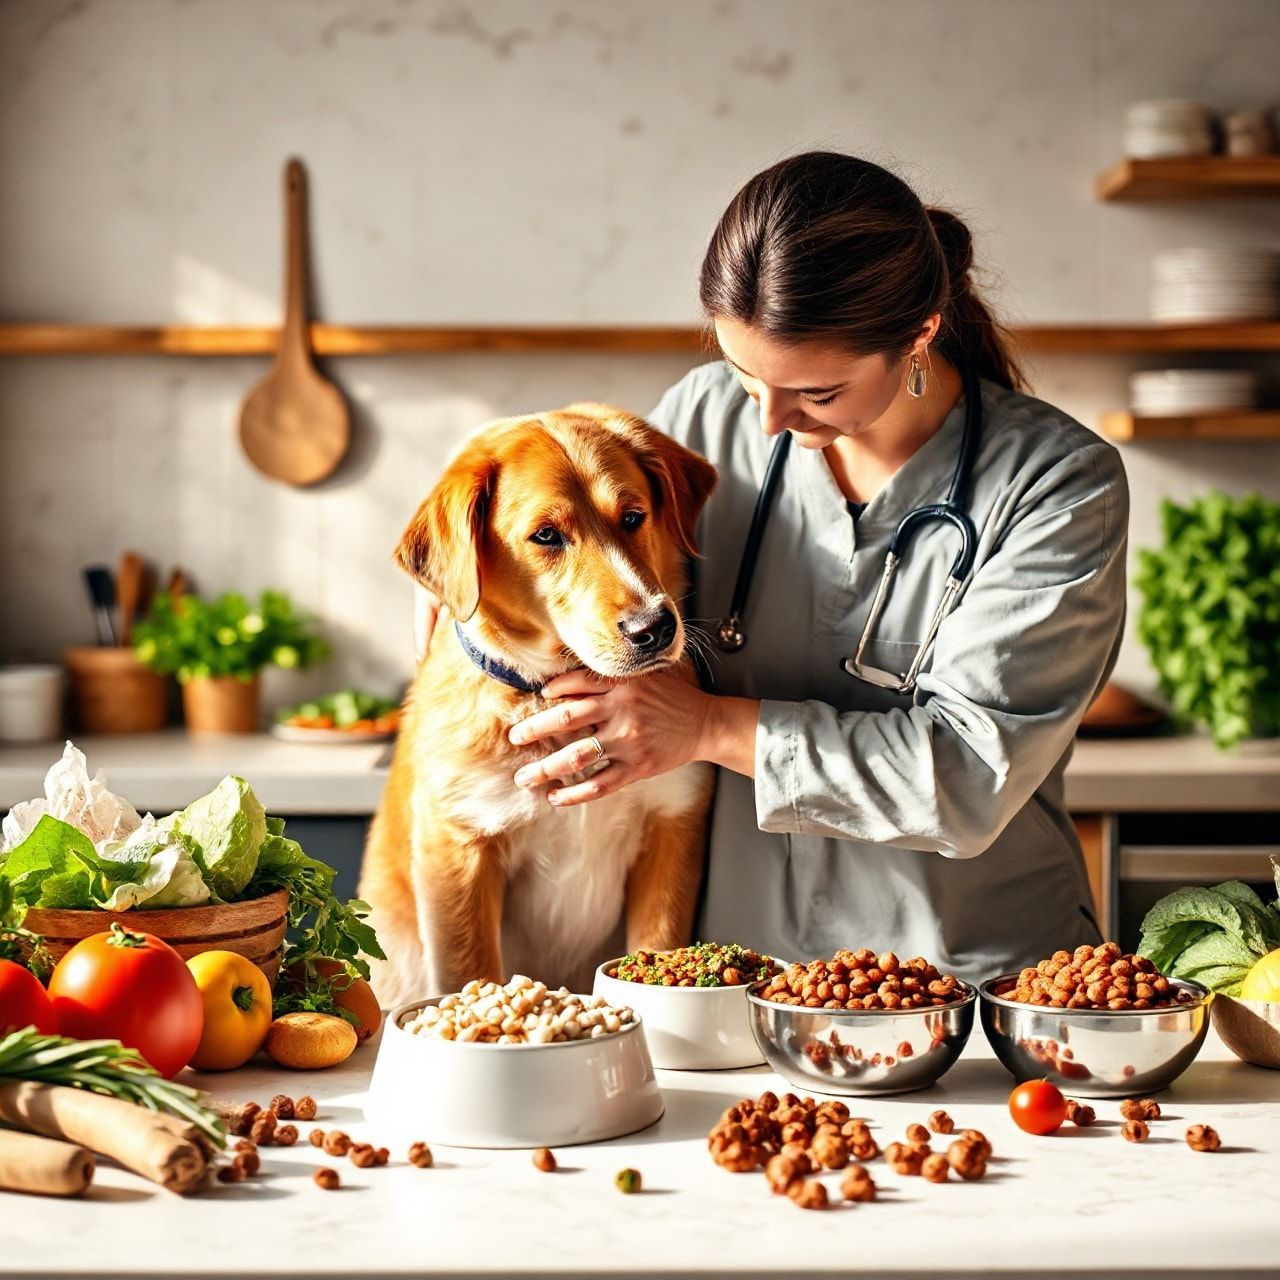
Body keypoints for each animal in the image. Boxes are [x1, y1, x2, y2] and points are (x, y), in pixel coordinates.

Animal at [360, 404, 721, 1003]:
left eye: (633, 516)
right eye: (546, 536)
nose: (654, 628)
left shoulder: (673, 822)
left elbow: (659, 948)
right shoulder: (458, 849)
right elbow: (472, 971)